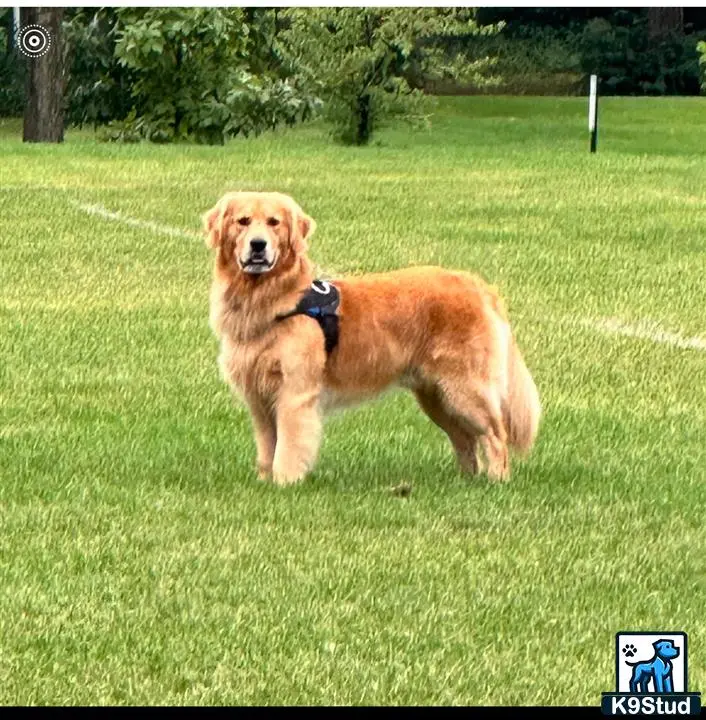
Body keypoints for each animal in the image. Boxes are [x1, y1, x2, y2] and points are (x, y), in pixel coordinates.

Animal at [204, 190, 540, 484]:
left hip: (464, 388)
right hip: (436, 395)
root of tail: (477, 284)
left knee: (495, 434)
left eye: (274, 222)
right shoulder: (259, 399)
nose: (258, 245)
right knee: (465, 439)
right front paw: (265, 482)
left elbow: (288, 447)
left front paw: (285, 483)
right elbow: (266, 449)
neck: (271, 298)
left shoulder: (295, 393)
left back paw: (497, 481)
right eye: (243, 221)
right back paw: (466, 482)